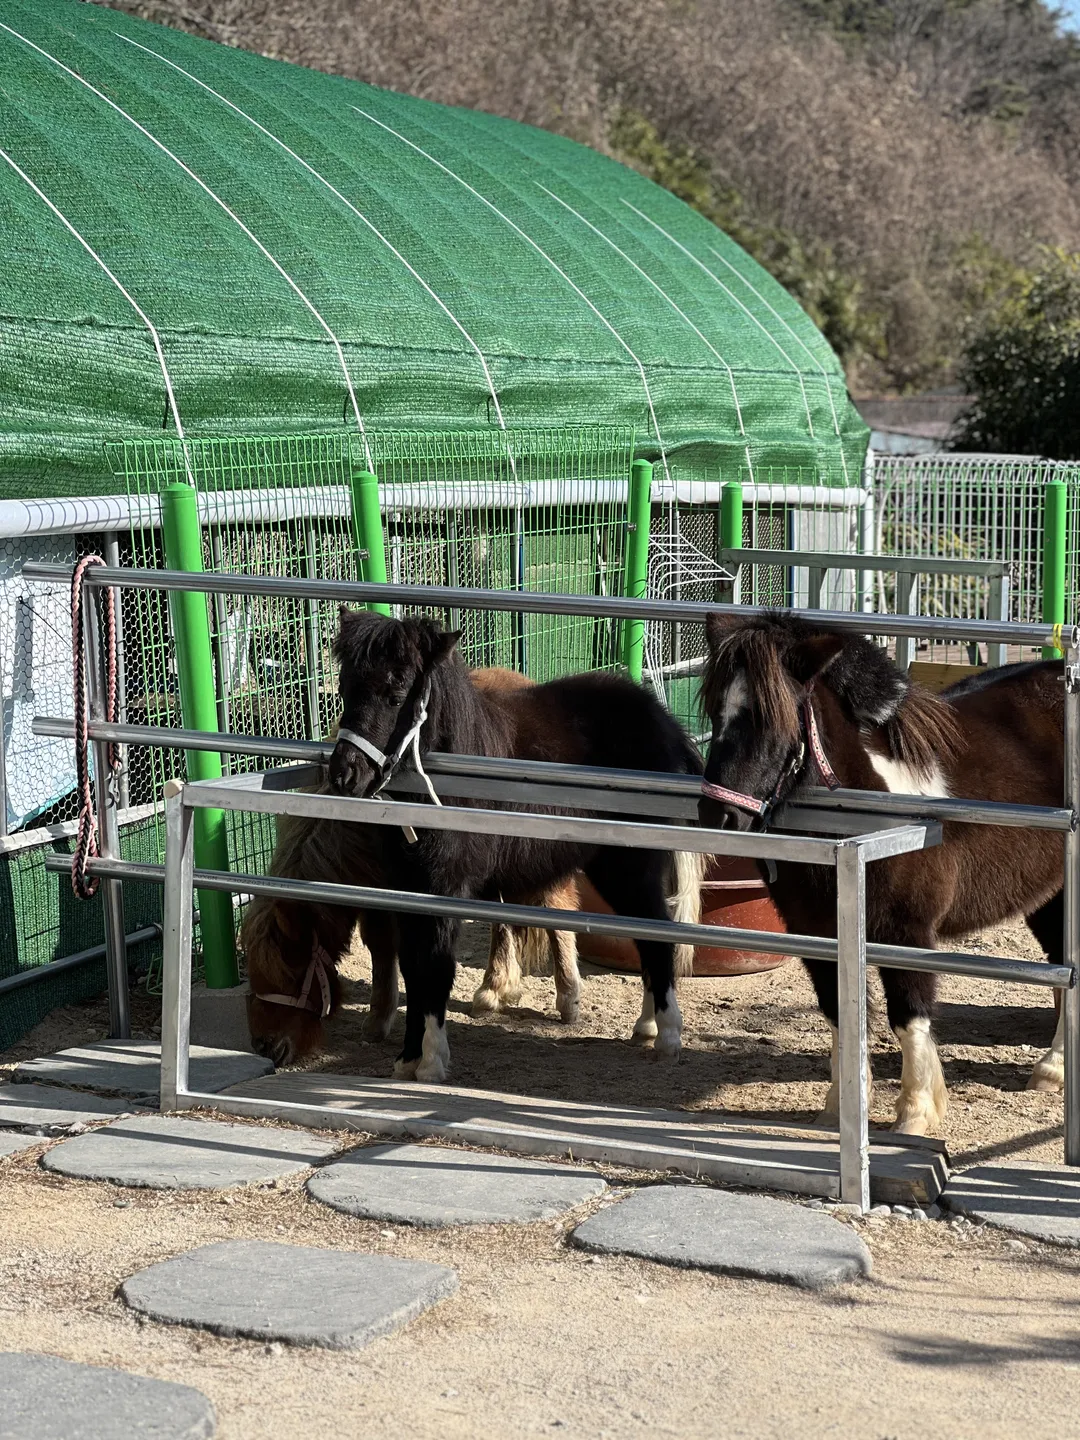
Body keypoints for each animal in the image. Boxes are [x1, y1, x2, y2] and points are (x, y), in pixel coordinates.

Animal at [243, 673, 582, 1066]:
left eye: (291, 968)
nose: (266, 1046)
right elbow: (381, 946)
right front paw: (381, 1017)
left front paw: (382, 1019)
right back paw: (495, 988)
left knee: (556, 908)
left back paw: (568, 998)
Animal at [328, 607, 706, 1083]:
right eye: (345, 688)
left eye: (396, 693)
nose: (343, 776)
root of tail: (663, 722)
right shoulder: (408, 887)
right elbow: (414, 967)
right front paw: (408, 1058)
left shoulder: (447, 889)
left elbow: (437, 967)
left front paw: (432, 1062)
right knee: (646, 933)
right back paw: (647, 1025)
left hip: (631, 865)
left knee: (657, 935)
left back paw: (667, 1036)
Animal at [698, 610, 1065, 1135]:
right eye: (715, 715)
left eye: (772, 719)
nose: (719, 817)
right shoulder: (817, 933)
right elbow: (839, 1011)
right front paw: (838, 1108)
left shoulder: (906, 932)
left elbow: (908, 1017)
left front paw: (915, 1114)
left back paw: (1051, 1069)